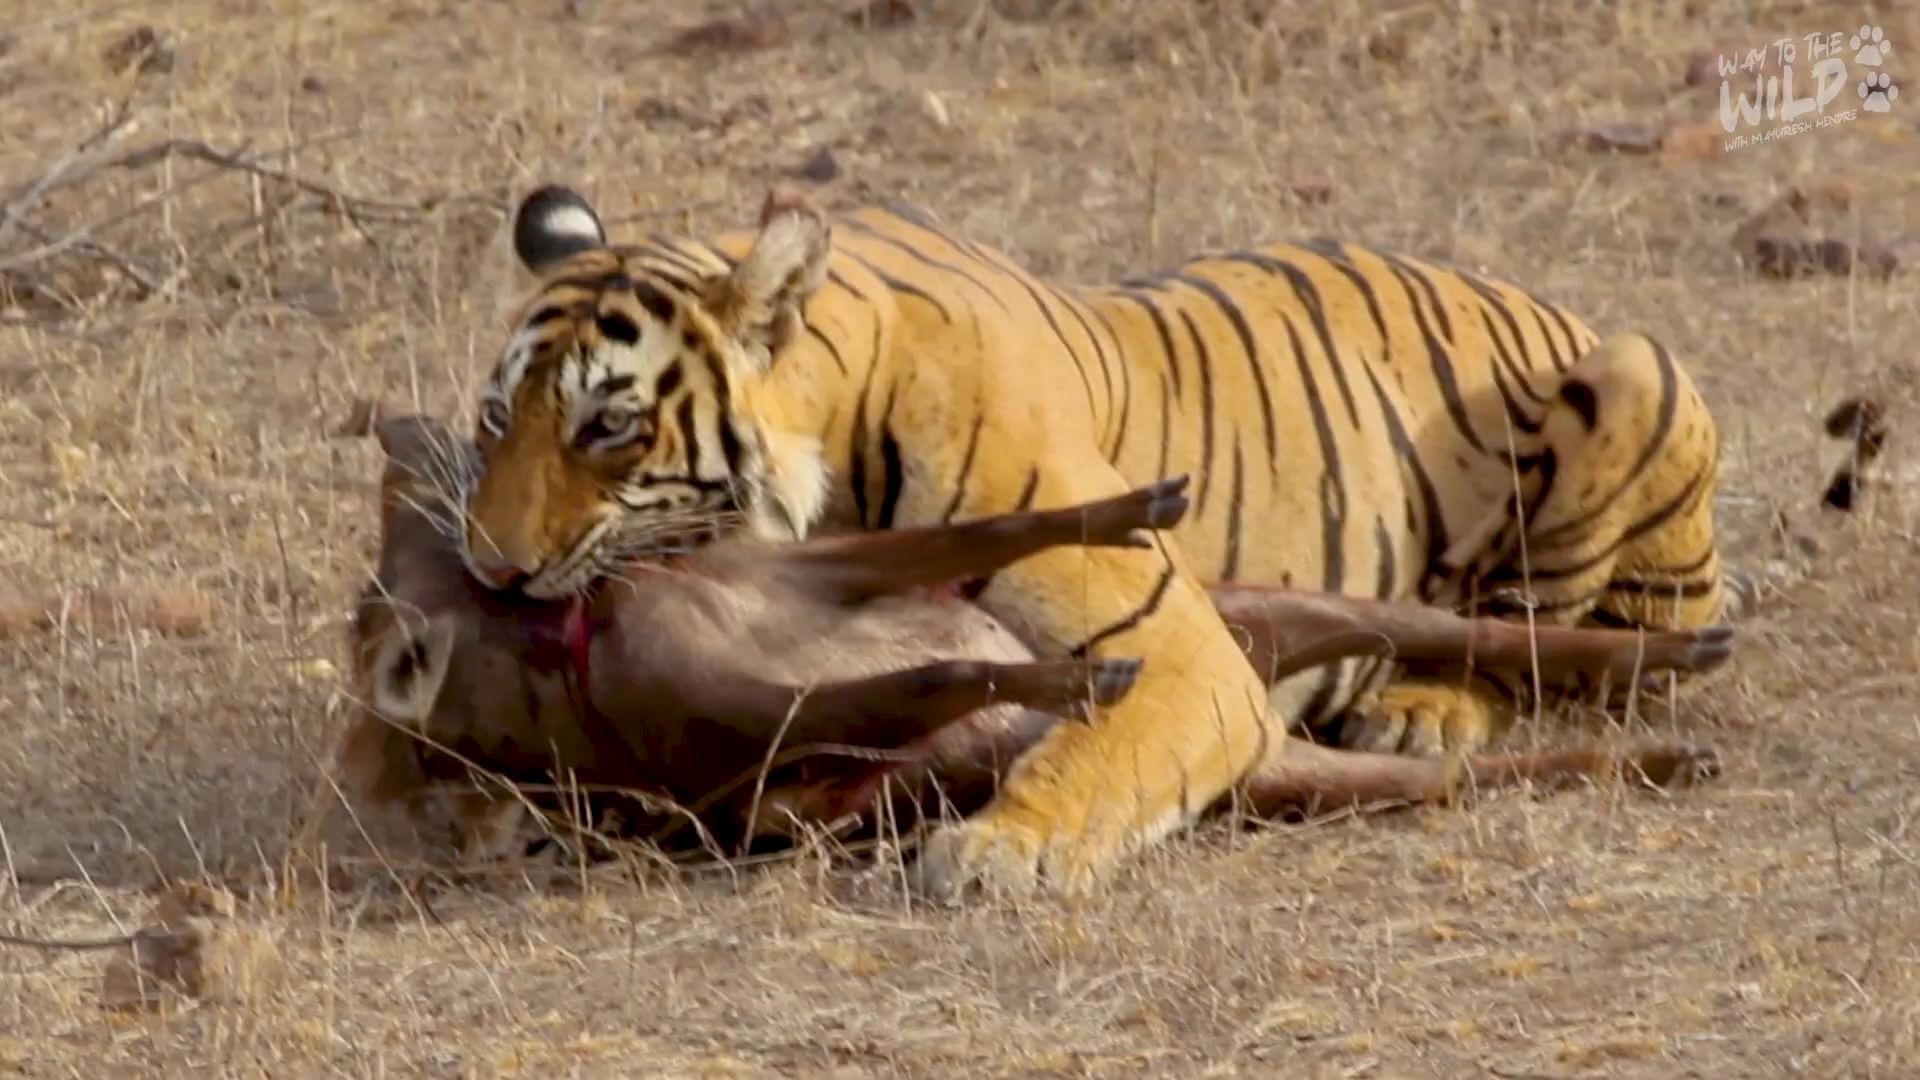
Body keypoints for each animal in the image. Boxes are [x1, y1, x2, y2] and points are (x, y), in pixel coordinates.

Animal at [456, 184, 1735, 899]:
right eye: (494, 417)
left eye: (608, 425)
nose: (491, 568)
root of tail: (1536, 296)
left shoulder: (1186, 657)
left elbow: (1094, 746)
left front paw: (1002, 851)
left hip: (1634, 371)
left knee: (1553, 633)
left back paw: (1427, 707)